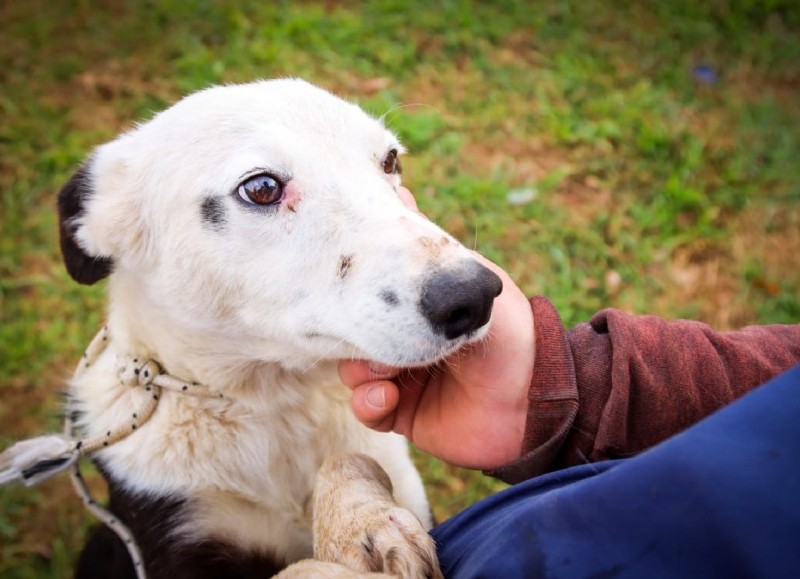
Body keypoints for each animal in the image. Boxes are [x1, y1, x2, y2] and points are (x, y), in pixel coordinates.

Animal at [57, 78, 500, 579]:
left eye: (390, 160)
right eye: (263, 188)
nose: (474, 296)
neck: (277, 406)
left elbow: (345, 460)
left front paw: (362, 522)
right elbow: (301, 569)